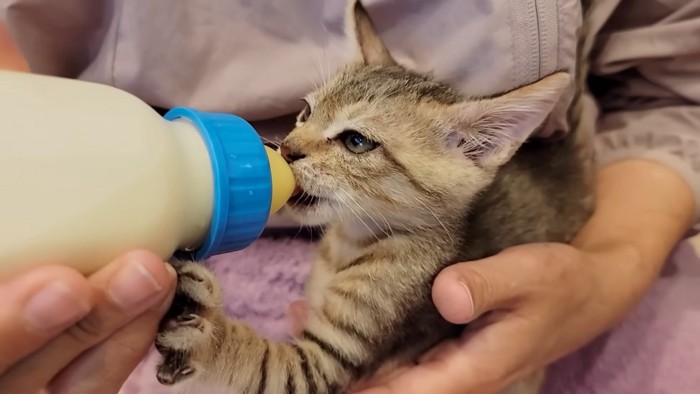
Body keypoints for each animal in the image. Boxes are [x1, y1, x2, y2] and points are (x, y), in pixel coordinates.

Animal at [153, 1, 592, 392]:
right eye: (306, 112)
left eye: (356, 142)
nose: (287, 149)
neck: (349, 243)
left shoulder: (324, 361)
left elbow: (261, 366)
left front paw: (205, 332)